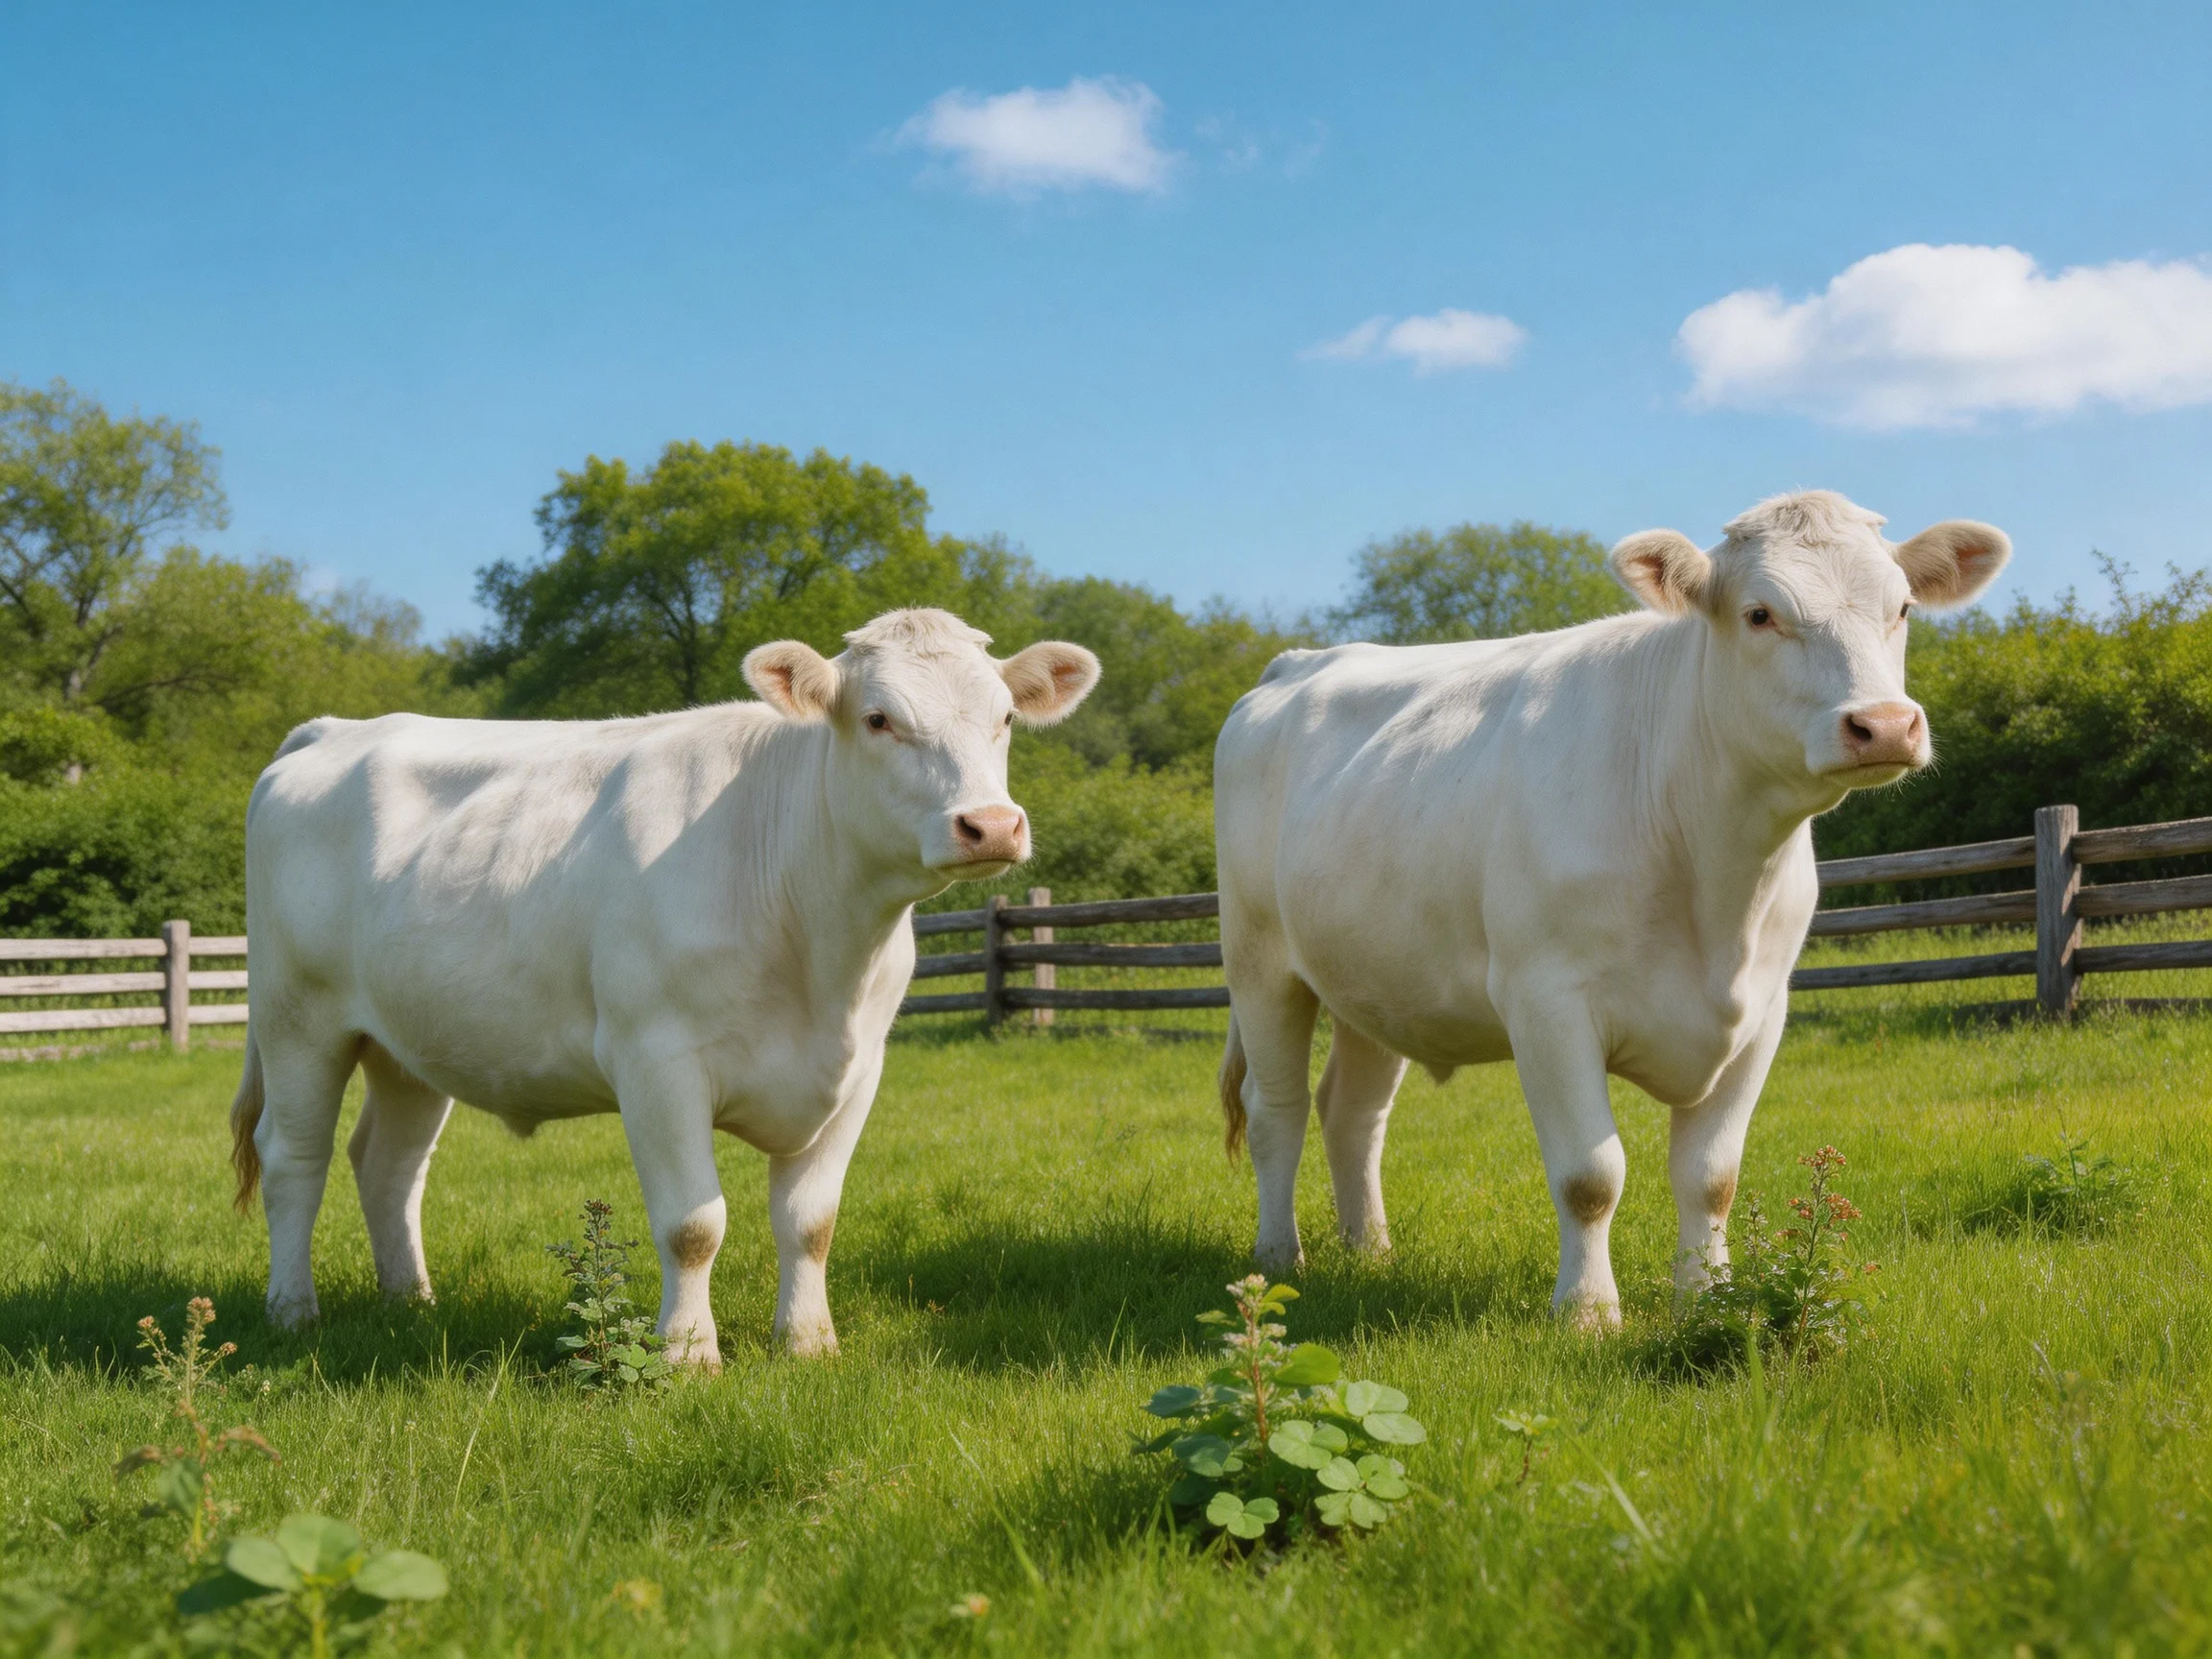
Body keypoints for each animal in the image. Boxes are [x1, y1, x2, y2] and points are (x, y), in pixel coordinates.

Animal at [229, 608, 1099, 1364]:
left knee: (389, 1164)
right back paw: (293, 1311)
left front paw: (808, 1343)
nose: (990, 825)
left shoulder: (858, 1070)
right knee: (293, 1158)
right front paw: (685, 1353)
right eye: (880, 718)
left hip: (408, 1040)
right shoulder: (655, 1060)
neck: (819, 951)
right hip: (297, 1017)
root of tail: (335, 730)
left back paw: (411, 1301)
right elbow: (693, 1224)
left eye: (1006, 719)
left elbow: (811, 1222)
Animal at [1212, 491, 2008, 1325]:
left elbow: (1711, 1176)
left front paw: (1706, 1300)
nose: (1883, 724)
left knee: (1352, 1114)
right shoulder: (1546, 1001)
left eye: (1903, 607)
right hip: (1260, 961)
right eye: (1760, 614)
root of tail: (1298, 662)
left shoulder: (1764, 1011)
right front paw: (1588, 1313)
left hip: (1377, 979)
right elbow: (1590, 1176)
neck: (1715, 883)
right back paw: (1278, 1256)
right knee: (1276, 1112)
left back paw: (1369, 1251)